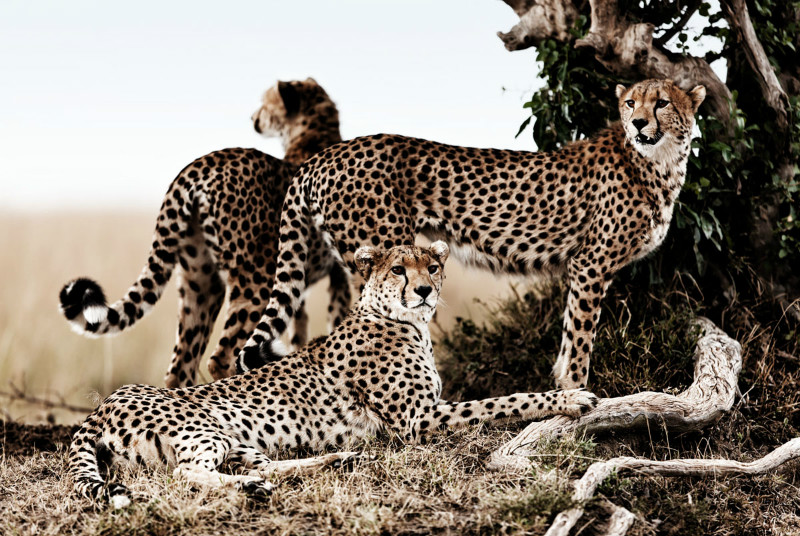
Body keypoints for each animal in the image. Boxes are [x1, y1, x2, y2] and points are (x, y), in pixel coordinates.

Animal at [58, 78, 351, 388]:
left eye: (265, 104)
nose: (253, 118)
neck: (313, 133)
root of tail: (200, 163)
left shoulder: (301, 285)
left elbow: (300, 331)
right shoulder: (336, 274)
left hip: (200, 283)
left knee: (181, 366)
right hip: (254, 283)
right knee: (222, 357)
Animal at [68, 242, 597, 507]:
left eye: (431, 265)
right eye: (399, 270)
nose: (424, 290)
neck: (404, 321)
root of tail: (104, 403)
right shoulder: (417, 421)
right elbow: (503, 400)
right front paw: (572, 398)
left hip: (236, 438)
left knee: (259, 464)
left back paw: (335, 460)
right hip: (206, 428)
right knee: (187, 473)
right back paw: (253, 489)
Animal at [235, 78, 706, 390]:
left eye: (662, 103)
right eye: (630, 103)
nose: (639, 122)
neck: (657, 161)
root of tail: (327, 154)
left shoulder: (585, 268)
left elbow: (569, 335)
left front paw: (562, 386)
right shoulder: (590, 265)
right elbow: (580, 336)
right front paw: (575, 394)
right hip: (385, 255)